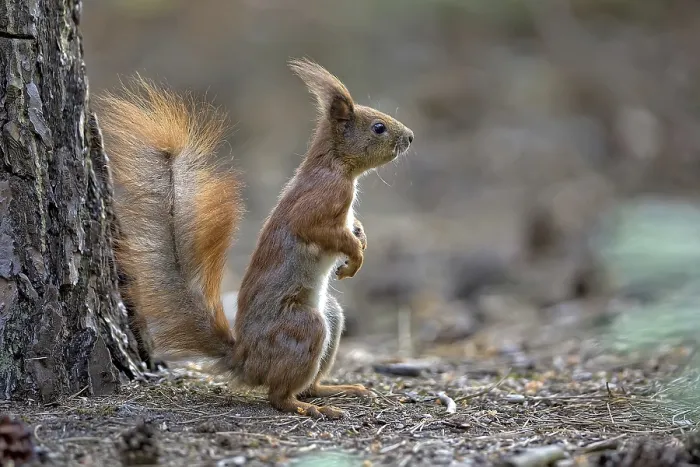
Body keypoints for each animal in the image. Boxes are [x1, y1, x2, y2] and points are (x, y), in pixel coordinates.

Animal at [98, 58, 414, 419]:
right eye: (378, 127)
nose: (410, 137)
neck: (335, 165)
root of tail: (246, 360)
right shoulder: (320, 201)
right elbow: (319, 231)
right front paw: (355, 257)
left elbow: (354, 227)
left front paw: (361, 241)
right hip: (304, 327)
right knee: (278, 396)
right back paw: (310, 408)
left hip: (331, 318)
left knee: (310, 384)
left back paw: (338, 390)